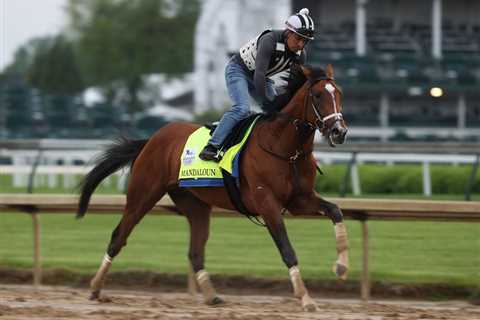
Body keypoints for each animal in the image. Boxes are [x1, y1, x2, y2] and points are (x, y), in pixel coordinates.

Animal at [78, 63, 348, 312]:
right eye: (317, 95)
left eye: (339, 93)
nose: (339, 131)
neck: (286, 149)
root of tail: (151, 139)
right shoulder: (267, 203)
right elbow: (287, 249)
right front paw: (306, 298)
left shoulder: (299, 199)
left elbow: (335, 211)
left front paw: (341, 266)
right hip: (143, 194)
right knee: (118, 236)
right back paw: (95, 288)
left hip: (194, 204)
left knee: (195, 251)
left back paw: (211, 295)